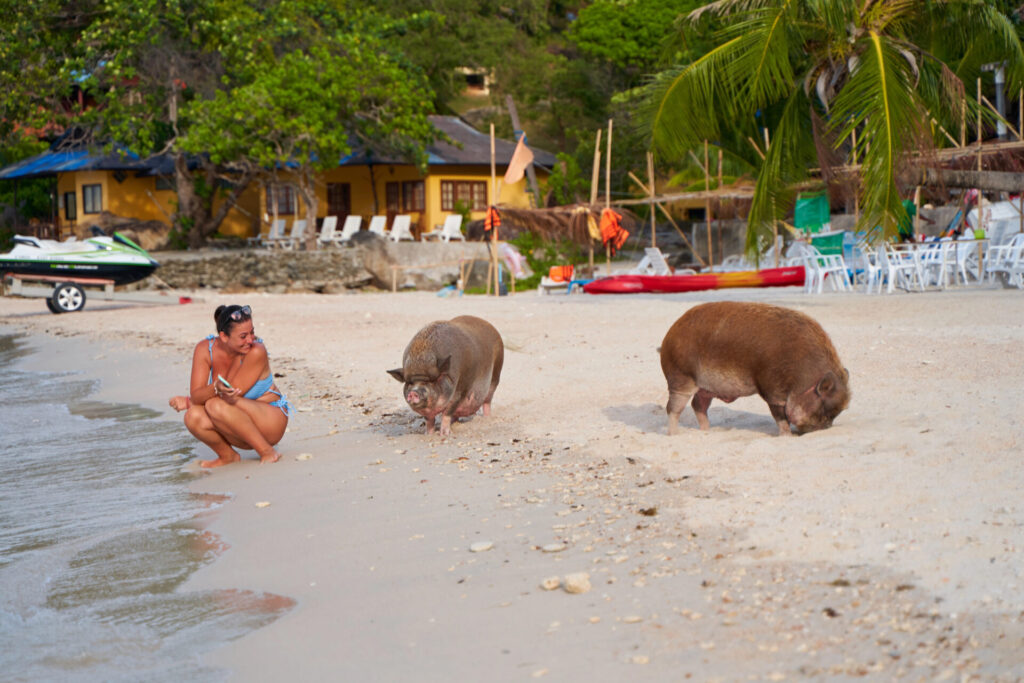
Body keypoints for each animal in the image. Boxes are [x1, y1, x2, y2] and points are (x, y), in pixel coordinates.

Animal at [660, 301, 849, 436]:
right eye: (825, 409)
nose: (825, 428)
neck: (801, 378)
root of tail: (669, 335)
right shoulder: (773, 389)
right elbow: (780, 417)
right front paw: (787, 436)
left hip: (706, 389)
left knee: (698, 405)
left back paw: (708, 431)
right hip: (681, 378)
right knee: (673, 408)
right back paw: (675, 435)